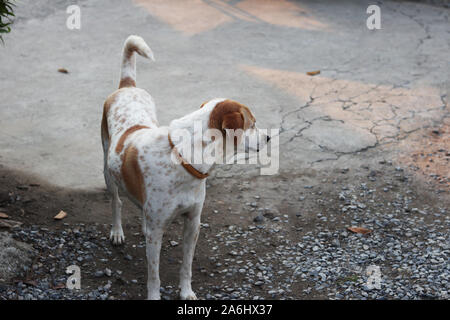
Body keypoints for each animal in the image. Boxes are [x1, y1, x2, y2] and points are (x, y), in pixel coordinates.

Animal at [101, 35, 268, 300]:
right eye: (252, 124)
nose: (269, 138)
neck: (183, 159)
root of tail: (127, 87)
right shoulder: (158, 232)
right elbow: (154, 275)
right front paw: (154, 296)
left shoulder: (193, 222)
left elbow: (186, 266)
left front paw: (187, 292)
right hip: (107, 171)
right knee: (116, 201)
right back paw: (117, 231)